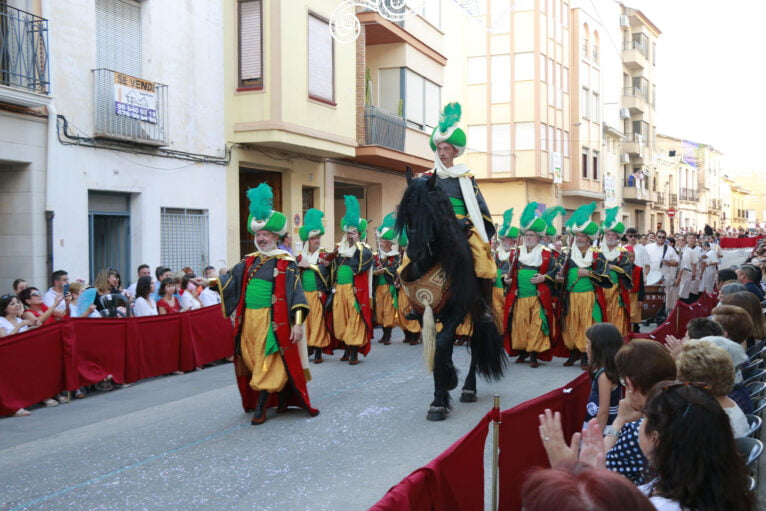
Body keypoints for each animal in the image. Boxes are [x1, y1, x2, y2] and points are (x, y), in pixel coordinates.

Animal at [396, 170, 510, 422]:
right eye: (406, 210)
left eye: (430, 210)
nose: (415, 252)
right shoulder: (423, 313)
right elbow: (439, 345)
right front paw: (444, 385)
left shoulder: (458, 309)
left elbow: (442, 343)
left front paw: (441, 397)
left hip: (477, 311)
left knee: (476, 344)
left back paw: (469, 388)